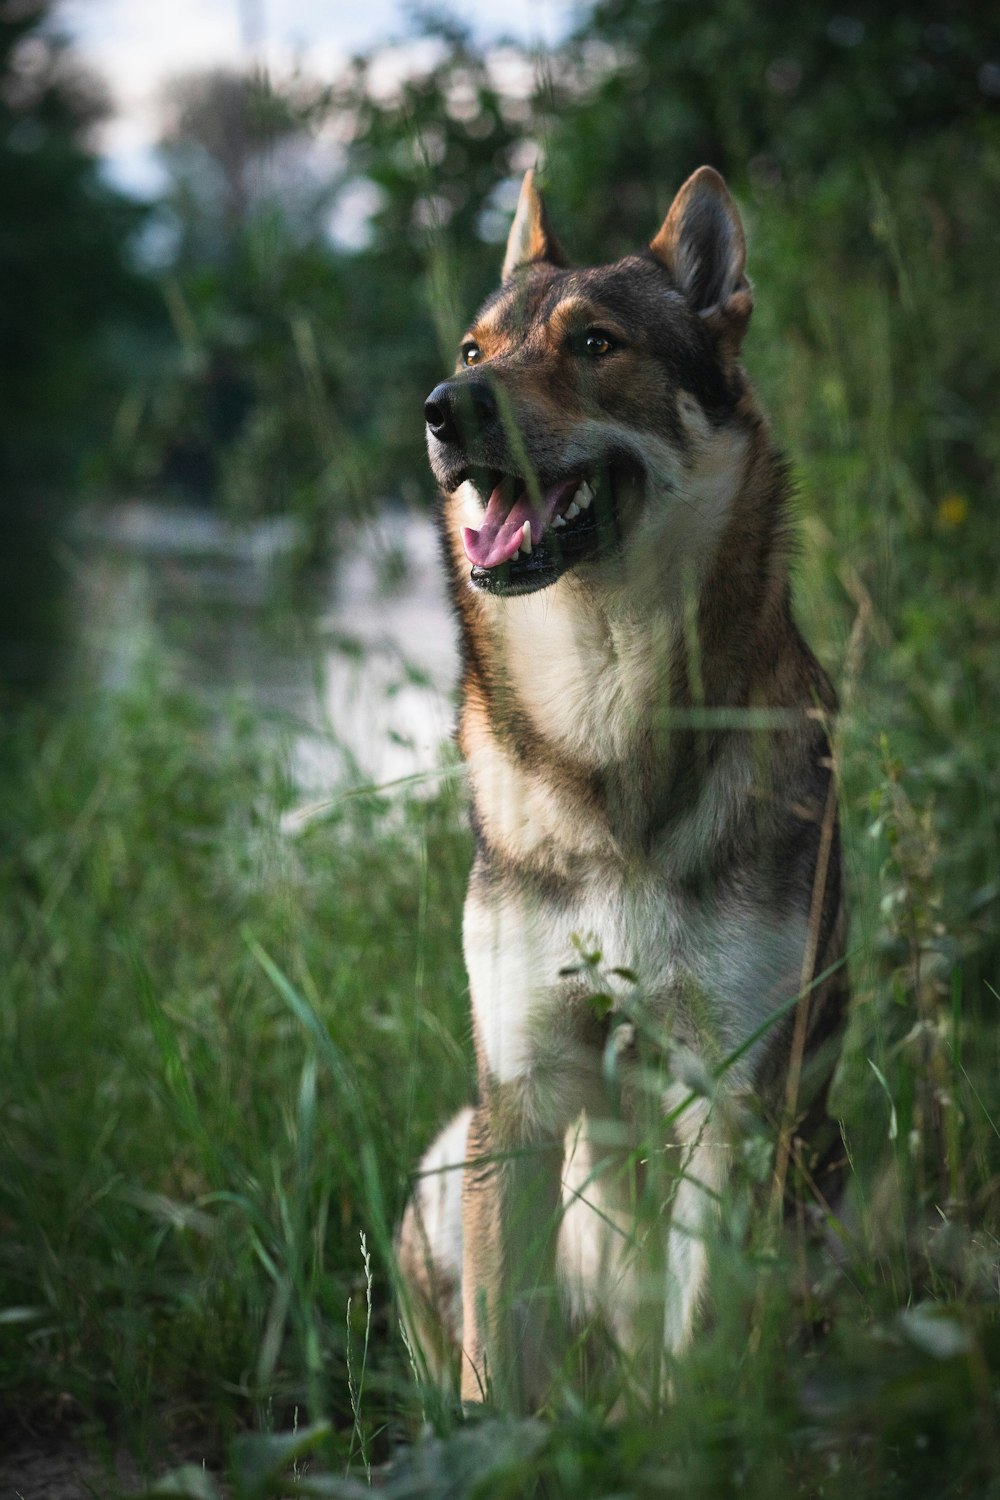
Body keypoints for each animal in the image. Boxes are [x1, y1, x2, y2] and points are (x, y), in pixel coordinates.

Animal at [395, 170, 851, 1410]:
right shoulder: (518, 1096)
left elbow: (696, 1348)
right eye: (473, 346)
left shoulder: (730, 1100)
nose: (442, 407)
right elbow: (493, 1364)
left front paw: (684, 1429)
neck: (604, 715)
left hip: (823, 1173)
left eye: (593, 343)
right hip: (445, 1156)